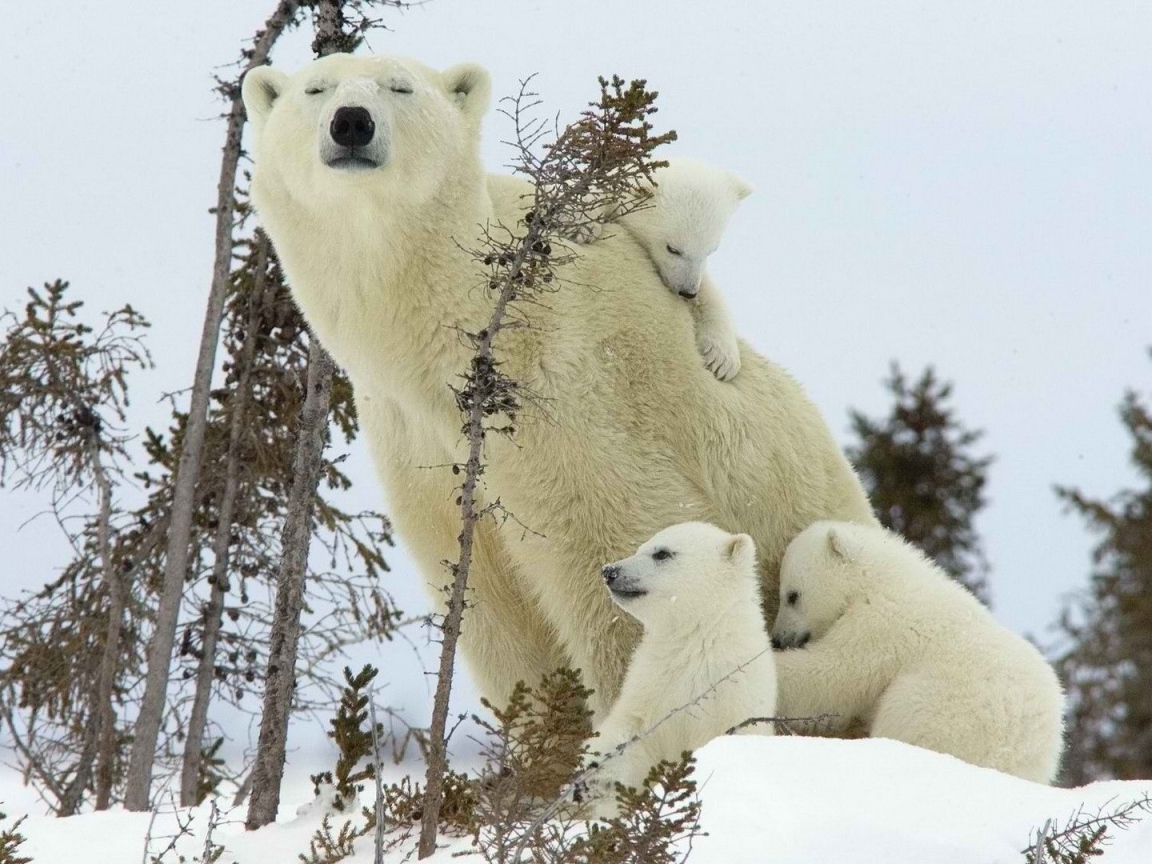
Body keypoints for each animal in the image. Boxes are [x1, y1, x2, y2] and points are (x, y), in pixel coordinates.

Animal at [567, 158, 752, 382]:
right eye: (672, 248)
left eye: (711, 250)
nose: (687, 292)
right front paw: (580, 223)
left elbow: (710, 294)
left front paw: (723, 360)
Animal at [577, 522, 777, 814]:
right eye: (640, 547)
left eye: (662, 553)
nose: (609, 571)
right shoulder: (652, 683)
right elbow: (632, 731)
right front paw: (593, 773)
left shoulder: (736, 695)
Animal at [771, 521, 1066, 783]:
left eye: (792, 595)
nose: (778, 638)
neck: (879, 579)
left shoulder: (881, 625)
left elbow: (833, 676)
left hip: (942, 712)